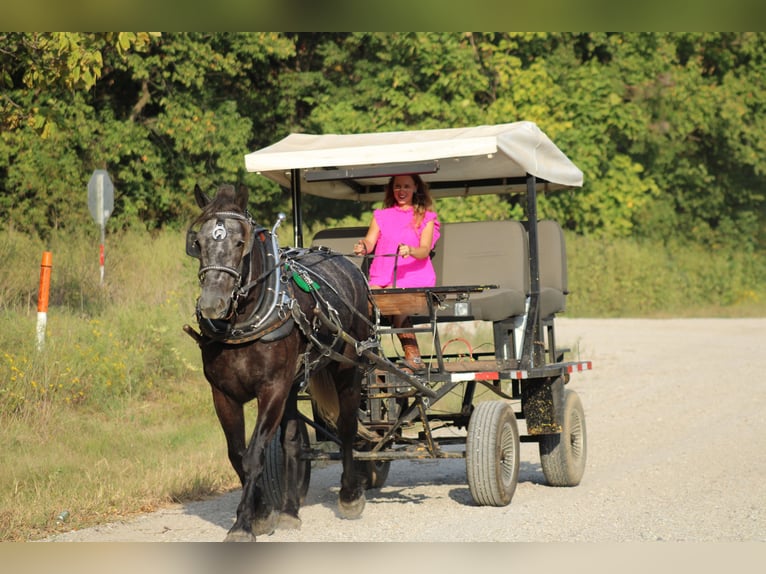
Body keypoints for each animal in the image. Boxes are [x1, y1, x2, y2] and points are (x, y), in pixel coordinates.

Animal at [183, 183, 376, 540]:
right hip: (294, 384)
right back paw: (289, 509)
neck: (245, 322)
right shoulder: (223, 394)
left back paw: (350, 494)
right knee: (291, 442)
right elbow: (238, 454)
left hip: (347, 365)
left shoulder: (271, 389)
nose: (213, 303)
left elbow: (254, 454)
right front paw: (262, 513)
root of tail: (346, 262)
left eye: (240, 242)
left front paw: (243, 524)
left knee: (346, 427)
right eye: (197, 243)